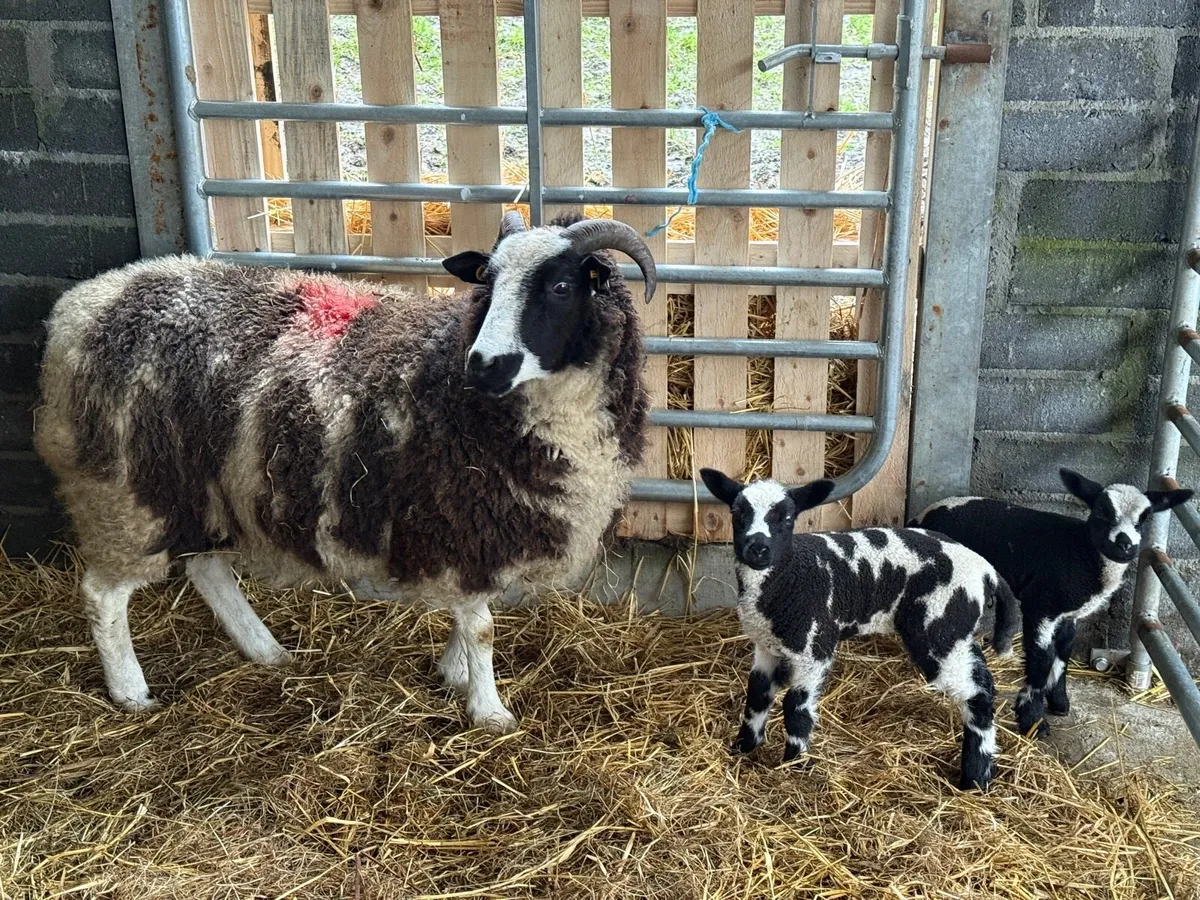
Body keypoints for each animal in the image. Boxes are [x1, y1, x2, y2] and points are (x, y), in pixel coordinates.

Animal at [35, 211, 657, 734]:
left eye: (560, 286)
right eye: (489, 279)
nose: (483, 365)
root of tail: (86, 302)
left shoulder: (478, 532)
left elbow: (470, 618)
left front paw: (454, 673)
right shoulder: (459, 523)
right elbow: (480, 627)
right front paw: (488, 710)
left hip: (192, 484)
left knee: (206, 569)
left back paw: (267, 652)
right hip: (123, 491)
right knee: (103, 593)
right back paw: (131, 692)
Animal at [700, 468, 1019, 791]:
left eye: (787, 518)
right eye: (737, 513)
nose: (757, 549)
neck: (789, 575)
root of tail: (986, 570)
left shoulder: (815, 644)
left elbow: (796, 705)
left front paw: (794, 763)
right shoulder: (766, 643)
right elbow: (757, 693)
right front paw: (744, 746)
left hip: (938, 625)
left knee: (975, 693)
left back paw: (975, 778)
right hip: (955, 629)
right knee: (982, 677)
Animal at [911, 468, 1193, 738]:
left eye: (1144, 518)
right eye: (1102, 511)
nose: (1125, 546)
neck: (1084, 553)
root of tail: (921, 516)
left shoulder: (1068, 615)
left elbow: (1063, 655)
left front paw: (1059, 702)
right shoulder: (1041, 606)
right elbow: (1041, 660)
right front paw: (1033, 720)